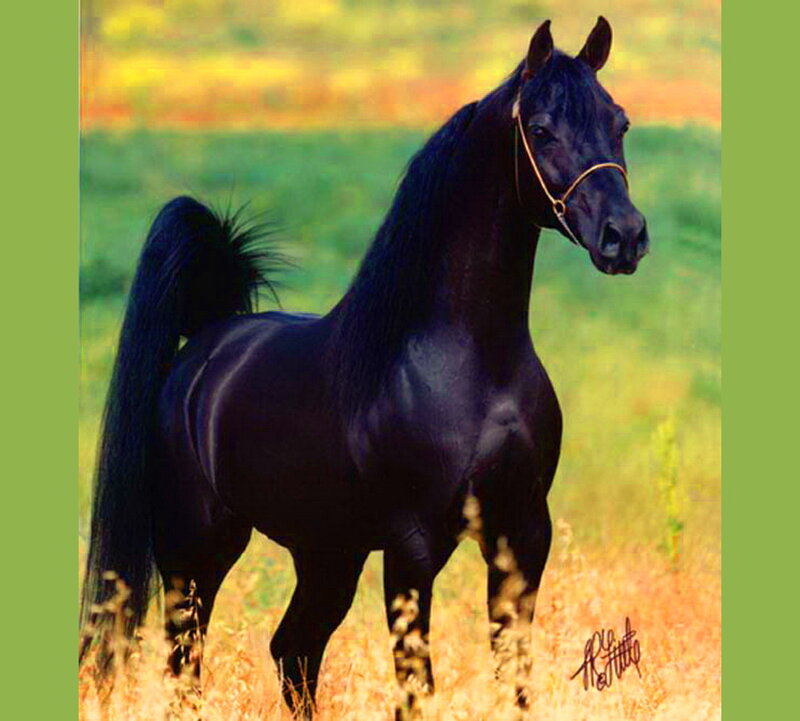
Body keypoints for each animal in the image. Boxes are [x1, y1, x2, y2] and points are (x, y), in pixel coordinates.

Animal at [80, 16, 648, 718]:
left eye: (620, 123)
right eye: (540, 128)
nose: (625, 237)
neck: (474, 365)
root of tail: (207, 345)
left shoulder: (521, 536)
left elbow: (513, 677)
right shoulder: (413, 545)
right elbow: (416, 684)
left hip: (327, 552)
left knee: (293, 650)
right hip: (196, 549)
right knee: (188, 663)